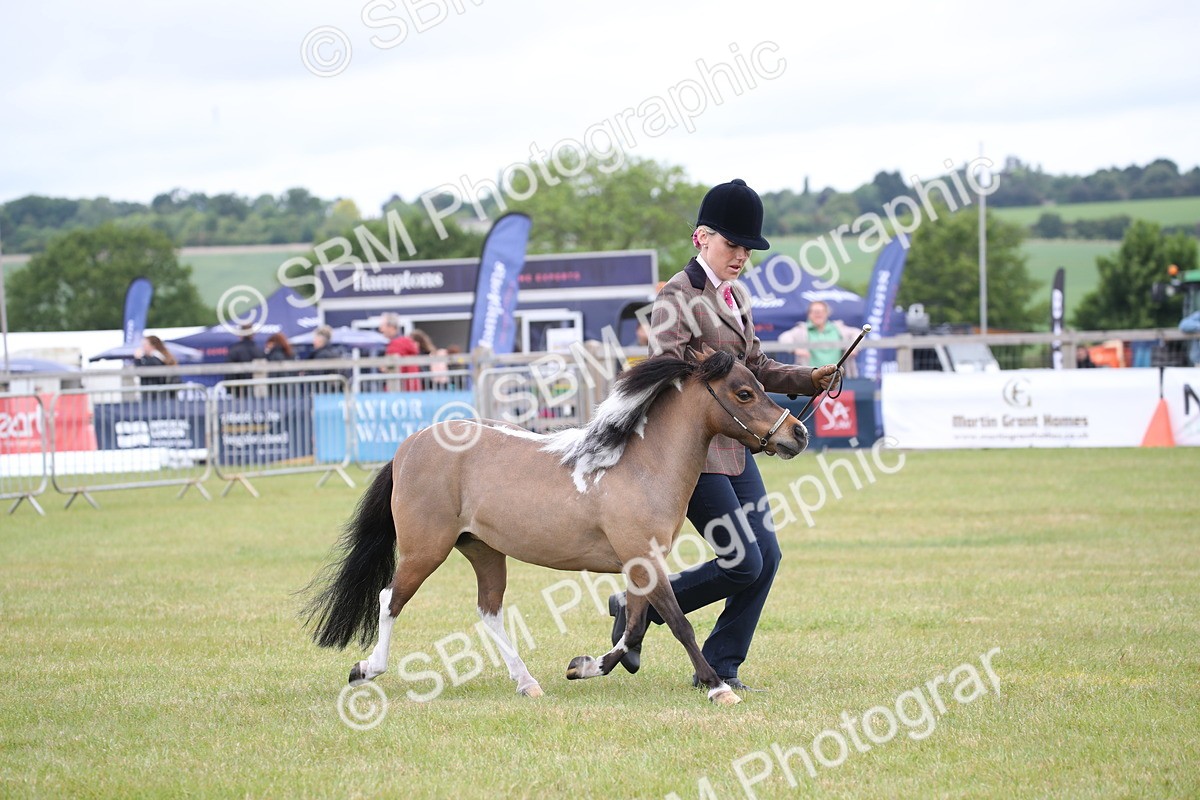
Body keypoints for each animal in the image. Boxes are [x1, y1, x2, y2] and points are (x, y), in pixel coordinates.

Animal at [301, 344, 809, 706]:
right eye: (744, 392)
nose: (798, 434)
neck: (639, 465)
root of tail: (410, 445)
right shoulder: (643, 560)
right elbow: (678, 623)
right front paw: (716, 687)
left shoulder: (641, 566)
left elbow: (635, 628)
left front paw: (583, 666)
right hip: (426, 549)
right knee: (390, 599)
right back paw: (367, 669)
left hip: (483, 549)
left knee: (489, 611)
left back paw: (527, 682)